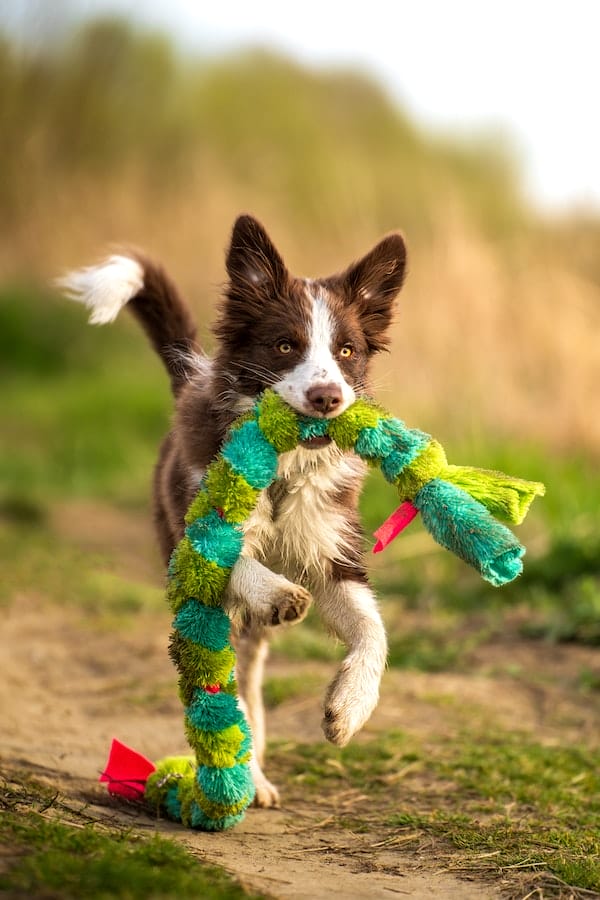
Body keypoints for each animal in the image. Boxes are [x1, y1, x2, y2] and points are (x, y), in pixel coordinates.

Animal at [59, 216, 408, 808]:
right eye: (285, 345)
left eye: (345, 351)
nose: (327, 398)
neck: (284, 470)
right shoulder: (195, 537)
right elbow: (238, 566)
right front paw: (282, 594)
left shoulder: (332, 544)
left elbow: (372, 629)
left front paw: (348, 711)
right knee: (229, 679)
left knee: (247, 679)